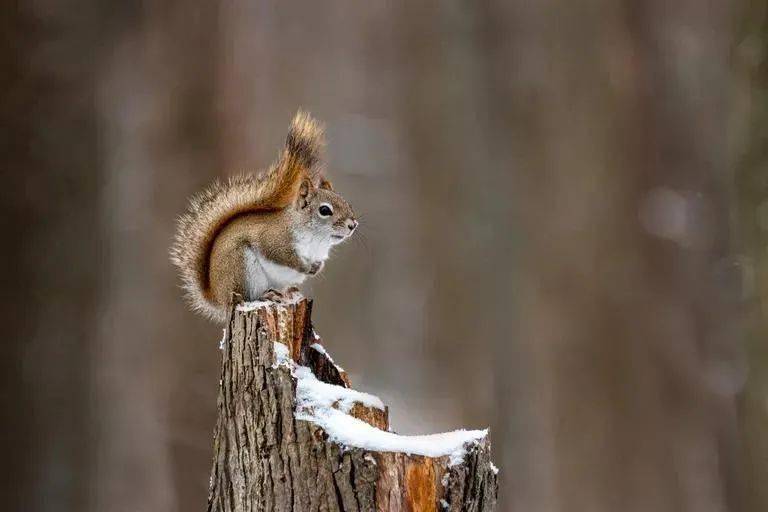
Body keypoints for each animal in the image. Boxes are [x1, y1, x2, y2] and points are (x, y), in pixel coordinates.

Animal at [171, 110, 356, 322]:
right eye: (325, 210)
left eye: (348, 203)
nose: (353, 224)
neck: (316, 239)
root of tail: (217, 298)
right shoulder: (273, 239)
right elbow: (281, 255)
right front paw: (303, 266)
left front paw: (317, 267)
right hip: (241, 268)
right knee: (244, 297)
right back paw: (265, 295)